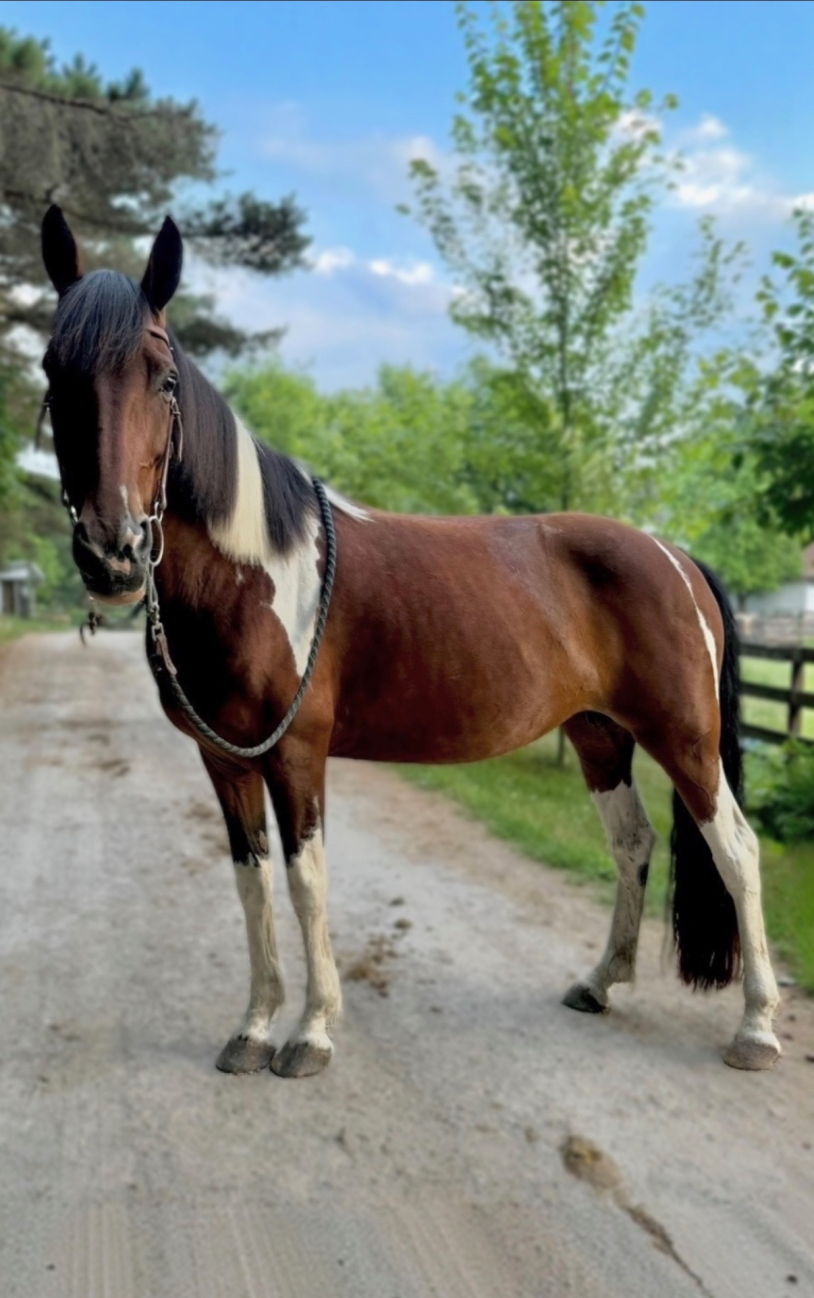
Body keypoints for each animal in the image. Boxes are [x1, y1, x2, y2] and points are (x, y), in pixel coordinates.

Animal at [39, 204, 781, 1078]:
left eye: (163, 378)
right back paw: (600, 983)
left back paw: (757, 1028)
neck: (254, 570)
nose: (112, 554)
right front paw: (253, 1027)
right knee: (633, 842)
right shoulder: (225, 762)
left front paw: (312, 1033)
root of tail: (673, 555)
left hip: (685, 738)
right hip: (599, 735)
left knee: (737, 851)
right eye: (53, 371)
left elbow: (307, 882)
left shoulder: (298, 756)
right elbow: (252, 885)